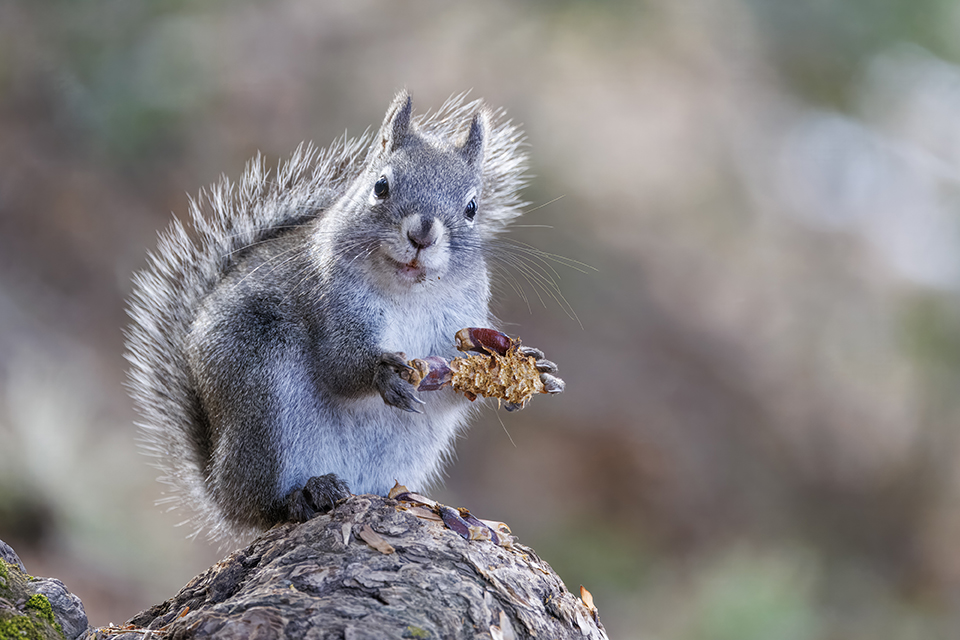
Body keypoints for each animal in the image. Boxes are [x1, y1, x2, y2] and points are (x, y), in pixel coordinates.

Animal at [125, 91, 563, 543]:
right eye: (381, 186)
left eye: (473, 207)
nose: (422, 234)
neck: (408, 293)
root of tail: (218, 489)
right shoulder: (330, 302)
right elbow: (338, 364)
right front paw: (381, 373)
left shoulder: (457, 324)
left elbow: (453, 387)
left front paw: (534, 369)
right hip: (261, 398)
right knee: (265, 505)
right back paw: (304, 494)